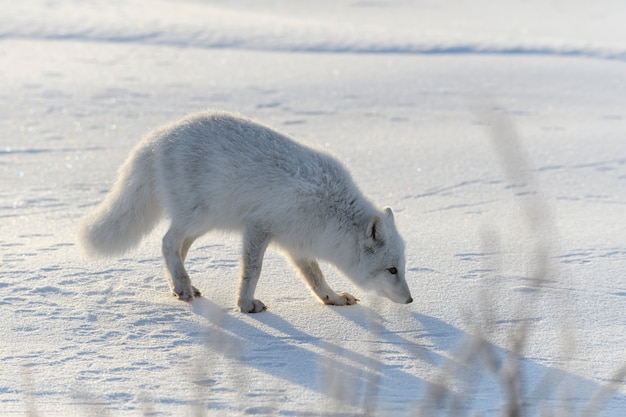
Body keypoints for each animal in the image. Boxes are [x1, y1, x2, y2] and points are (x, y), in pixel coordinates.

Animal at [78, 110, 412, 312]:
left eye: (402, 267)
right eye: (392, 270)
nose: (410, 299)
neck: (330, 209)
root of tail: (157, 137)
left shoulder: (297, 243)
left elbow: (315, 277)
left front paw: (333, 298)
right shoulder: (258, 227)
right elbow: (252, 270)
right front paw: (246, 304)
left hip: (204, 223)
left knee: (177, 249)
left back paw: (181, 285)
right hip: (198, 217)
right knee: (167, 242)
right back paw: (183, 286)